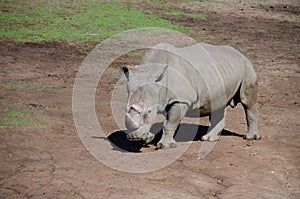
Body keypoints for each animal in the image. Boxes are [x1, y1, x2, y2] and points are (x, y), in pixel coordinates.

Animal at [120, 43, 260, 149]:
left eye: (149, 111)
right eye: (125, 110)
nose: (134, 137)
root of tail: (241, 54)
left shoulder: (181, 100)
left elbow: (170, 123)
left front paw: (165, 146)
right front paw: (148, 138)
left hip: (247, 68)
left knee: (248, 103)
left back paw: (250, 137)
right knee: (217, 105)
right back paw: (209, 139)